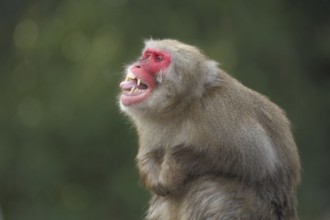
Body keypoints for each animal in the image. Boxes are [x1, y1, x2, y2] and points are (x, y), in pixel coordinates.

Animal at [119, 38, 302, 219]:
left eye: (158, 59)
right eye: (147, 55)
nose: (139, 64)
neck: (181, 108)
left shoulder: (220, 111)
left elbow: (257, 158)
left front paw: (174, 166)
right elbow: (148, 156)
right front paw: (154, 176)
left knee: (207, 188)